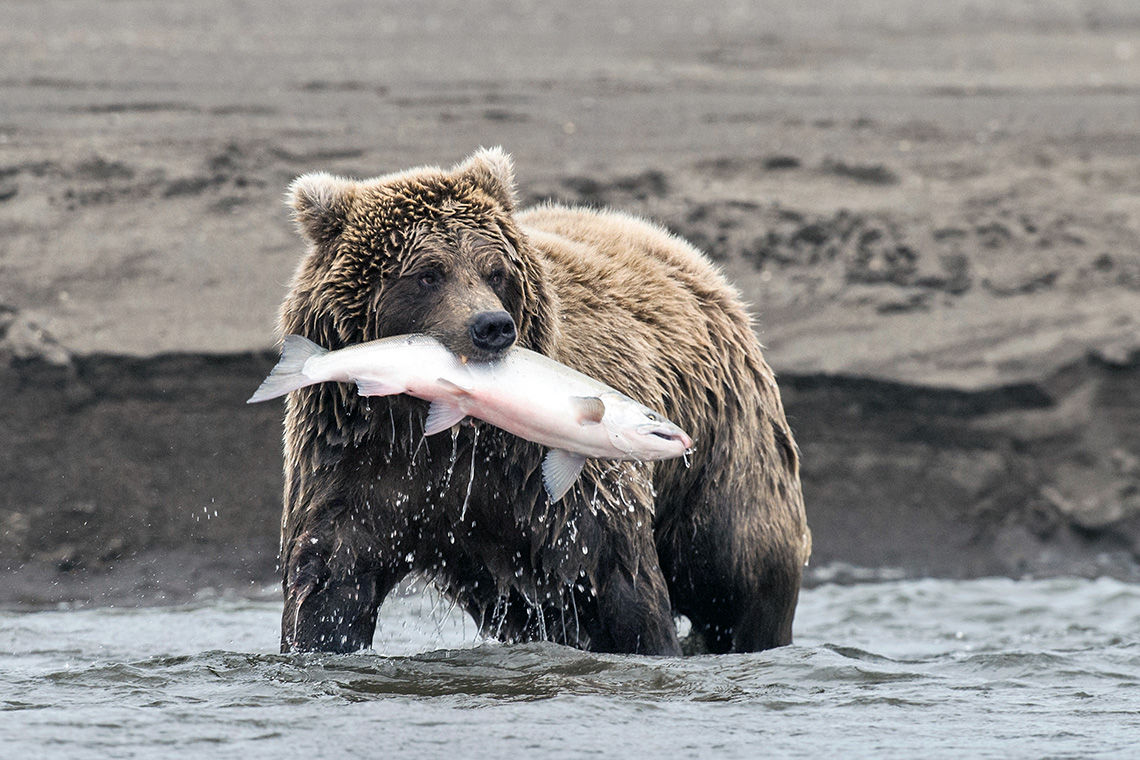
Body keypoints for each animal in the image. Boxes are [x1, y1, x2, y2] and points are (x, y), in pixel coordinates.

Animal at [274, 147, 810, 656]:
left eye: (495, 271)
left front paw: (651, 645)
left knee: (739, 569)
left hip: (724, 448)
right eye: (428, 273)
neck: (443, 425)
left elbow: (615, 578)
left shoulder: (549, 480)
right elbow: (331, 579)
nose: (491, 326)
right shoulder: (361, 459)